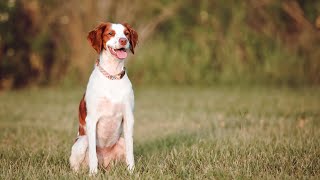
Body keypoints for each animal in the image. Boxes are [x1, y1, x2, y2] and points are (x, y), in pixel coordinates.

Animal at [69, 21, 138, 175]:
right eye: (110, 33)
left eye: (126, 33)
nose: (123, 40)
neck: (112, 76)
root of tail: (105, 164)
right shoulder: (91, 119)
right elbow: (92, 155)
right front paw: (93, 174)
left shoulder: (128, 117)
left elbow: (131, 152)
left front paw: (132, 171)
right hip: (82, 141)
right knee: (76, 165)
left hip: (120, 141)